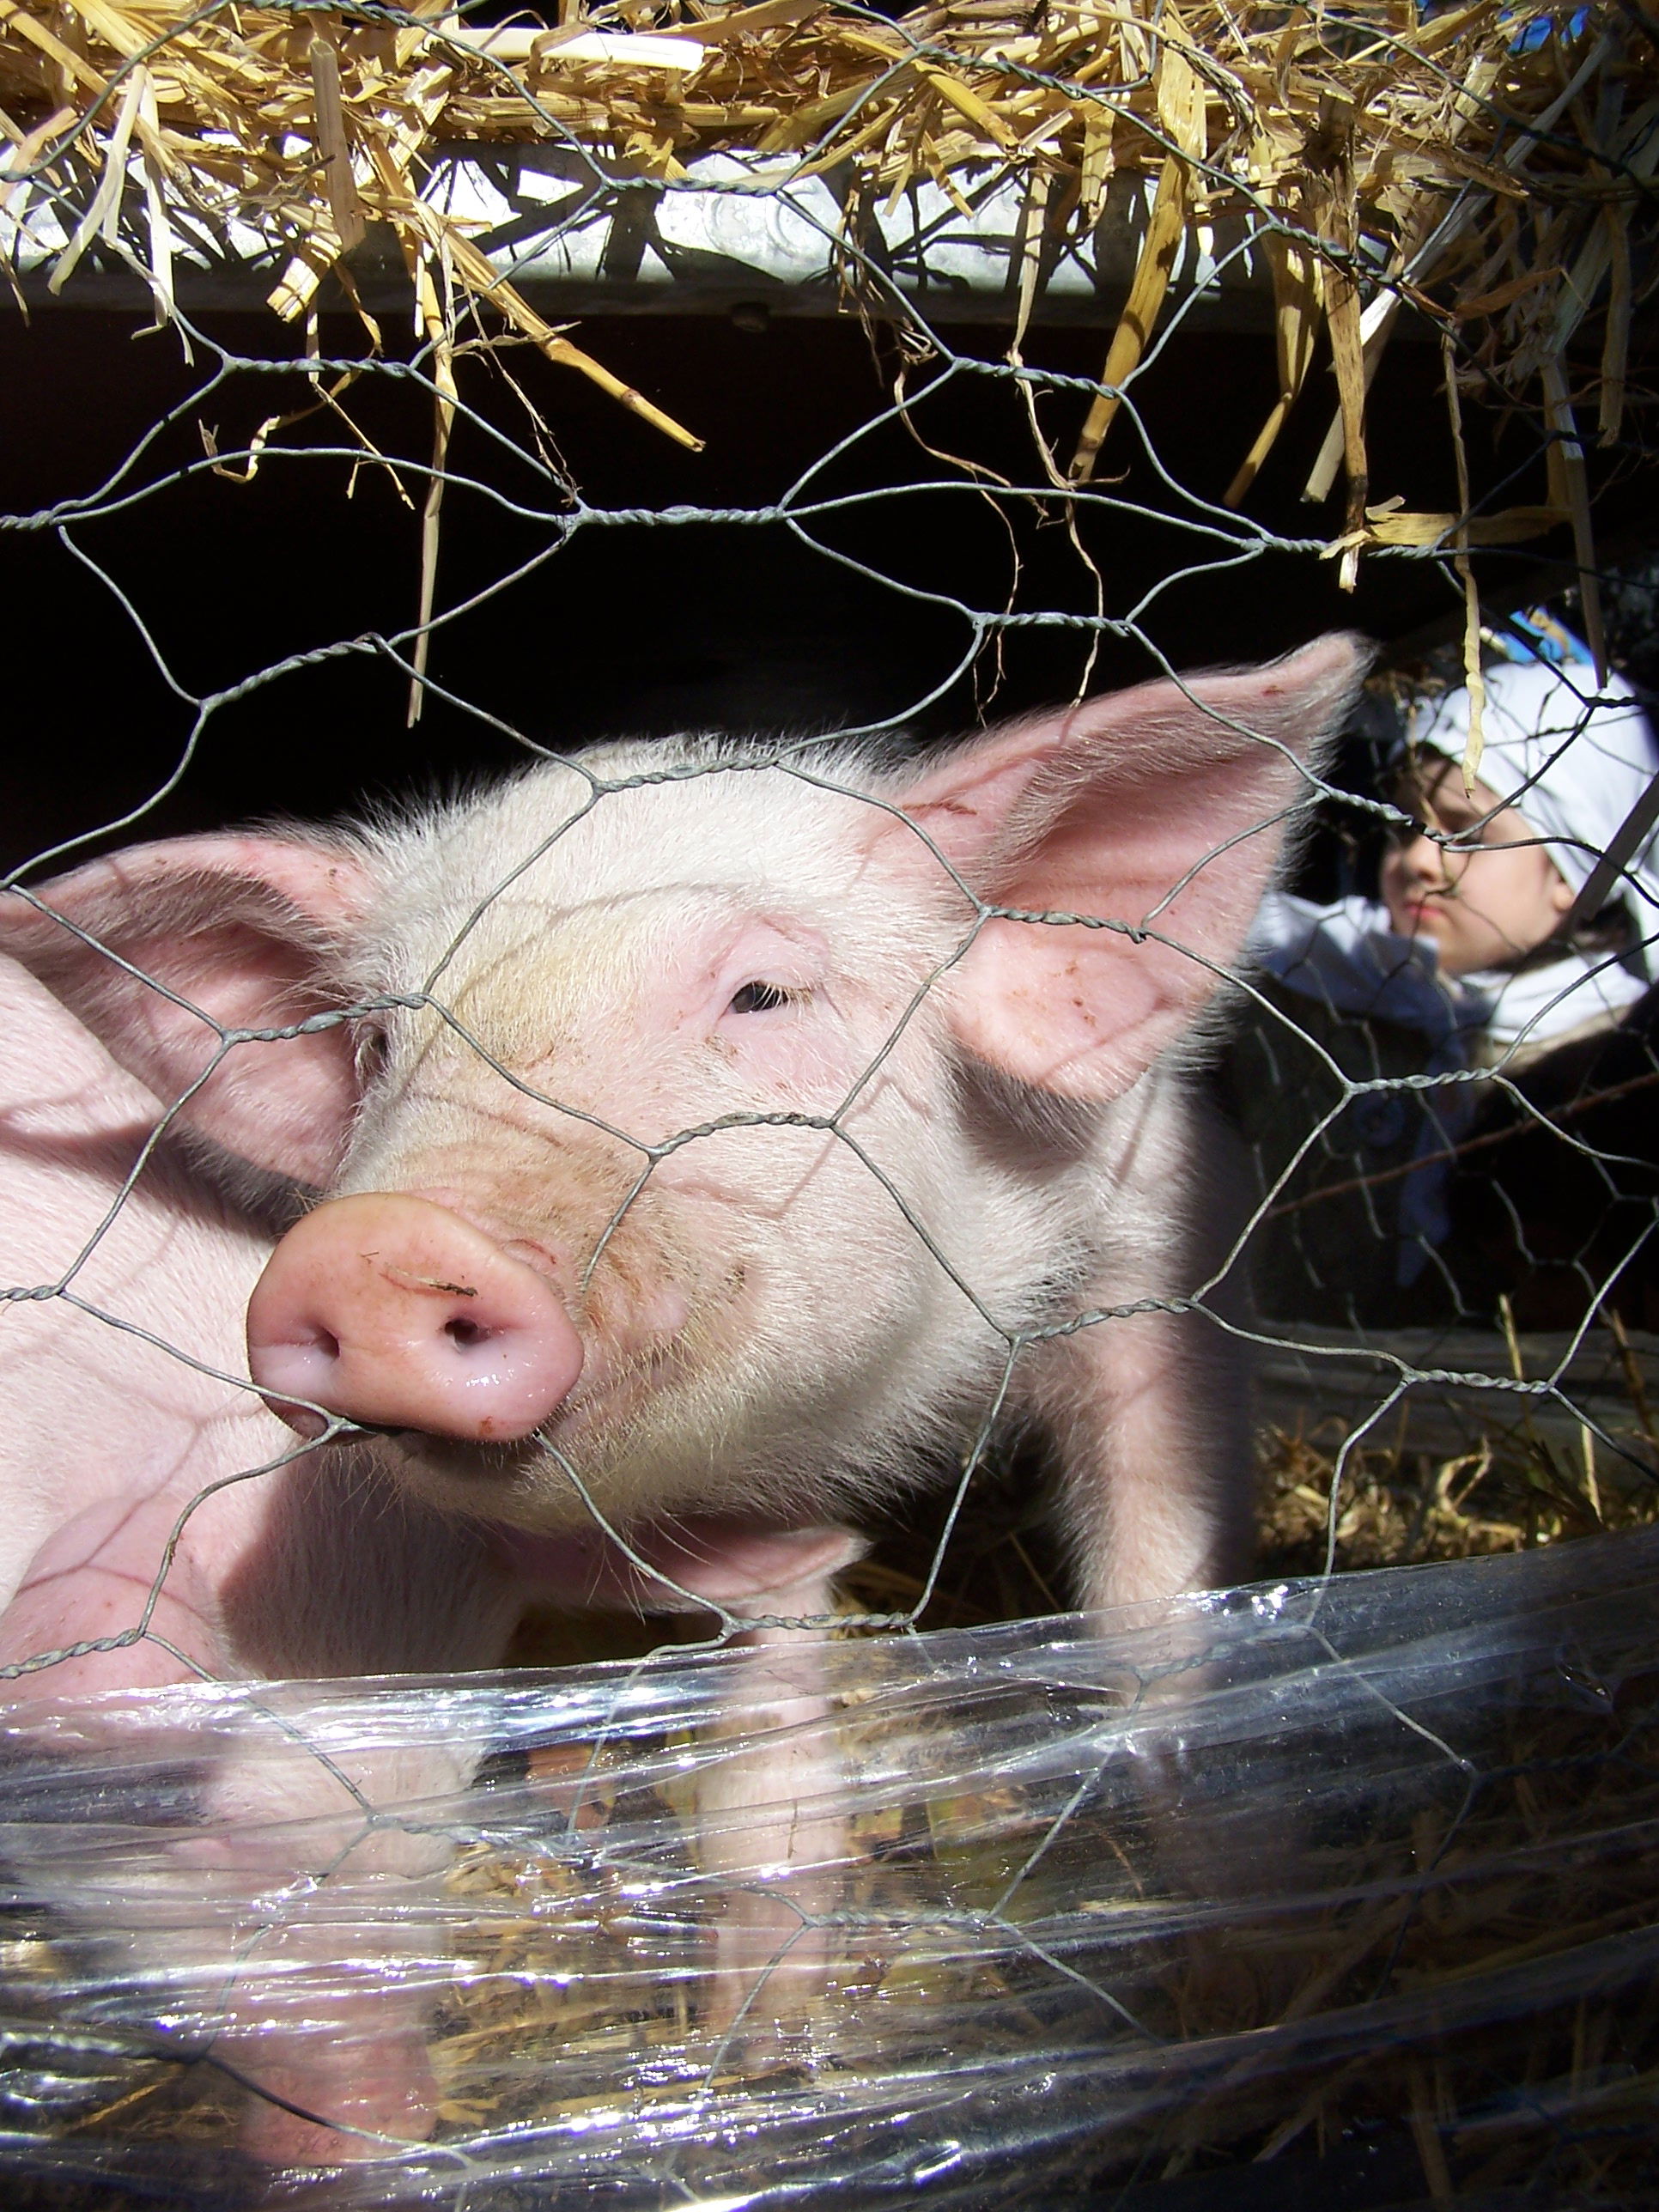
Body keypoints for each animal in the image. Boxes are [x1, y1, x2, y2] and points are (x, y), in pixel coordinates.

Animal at [3, 632, 1362, 2167]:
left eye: (762, 996)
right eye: (380, 1050)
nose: (376, 1248)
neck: (906, 1398)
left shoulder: (1162, 1234)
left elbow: (1155, 1590)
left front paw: (1240, 1963)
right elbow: (763, 1694)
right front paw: (756, 2043)